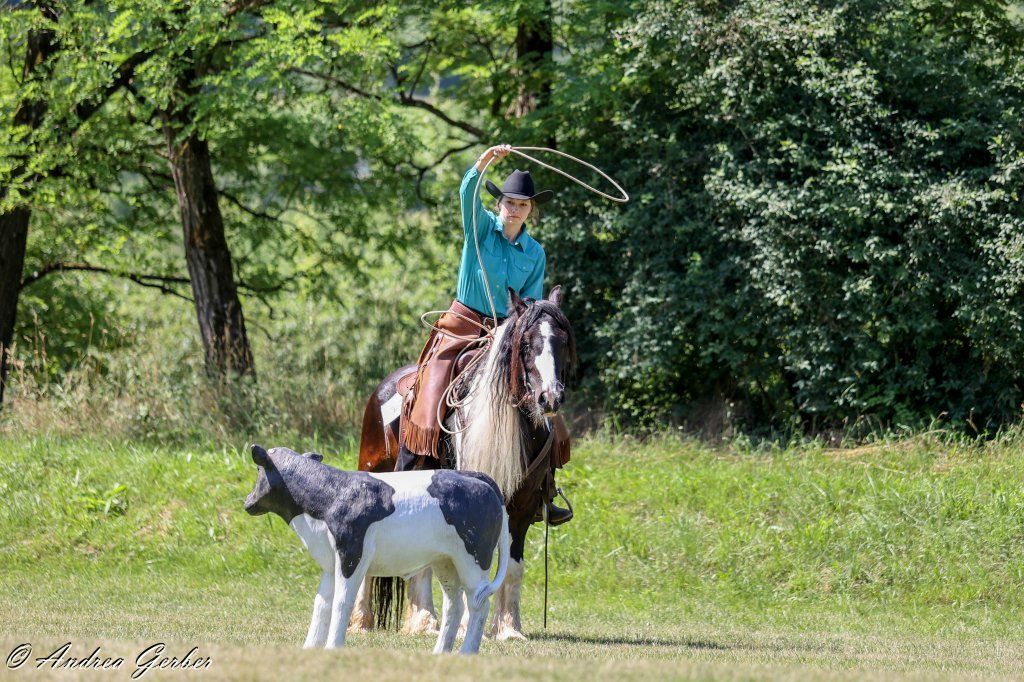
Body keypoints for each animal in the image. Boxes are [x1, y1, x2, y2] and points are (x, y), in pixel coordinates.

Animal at [352, 285, 576, 640]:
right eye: (526, 344)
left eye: (563, 341)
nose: (550, 397)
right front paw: (467, 627)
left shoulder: (523, 507)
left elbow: (513, 568)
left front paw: (508, 628)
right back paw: (371, 620)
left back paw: (423, 620)